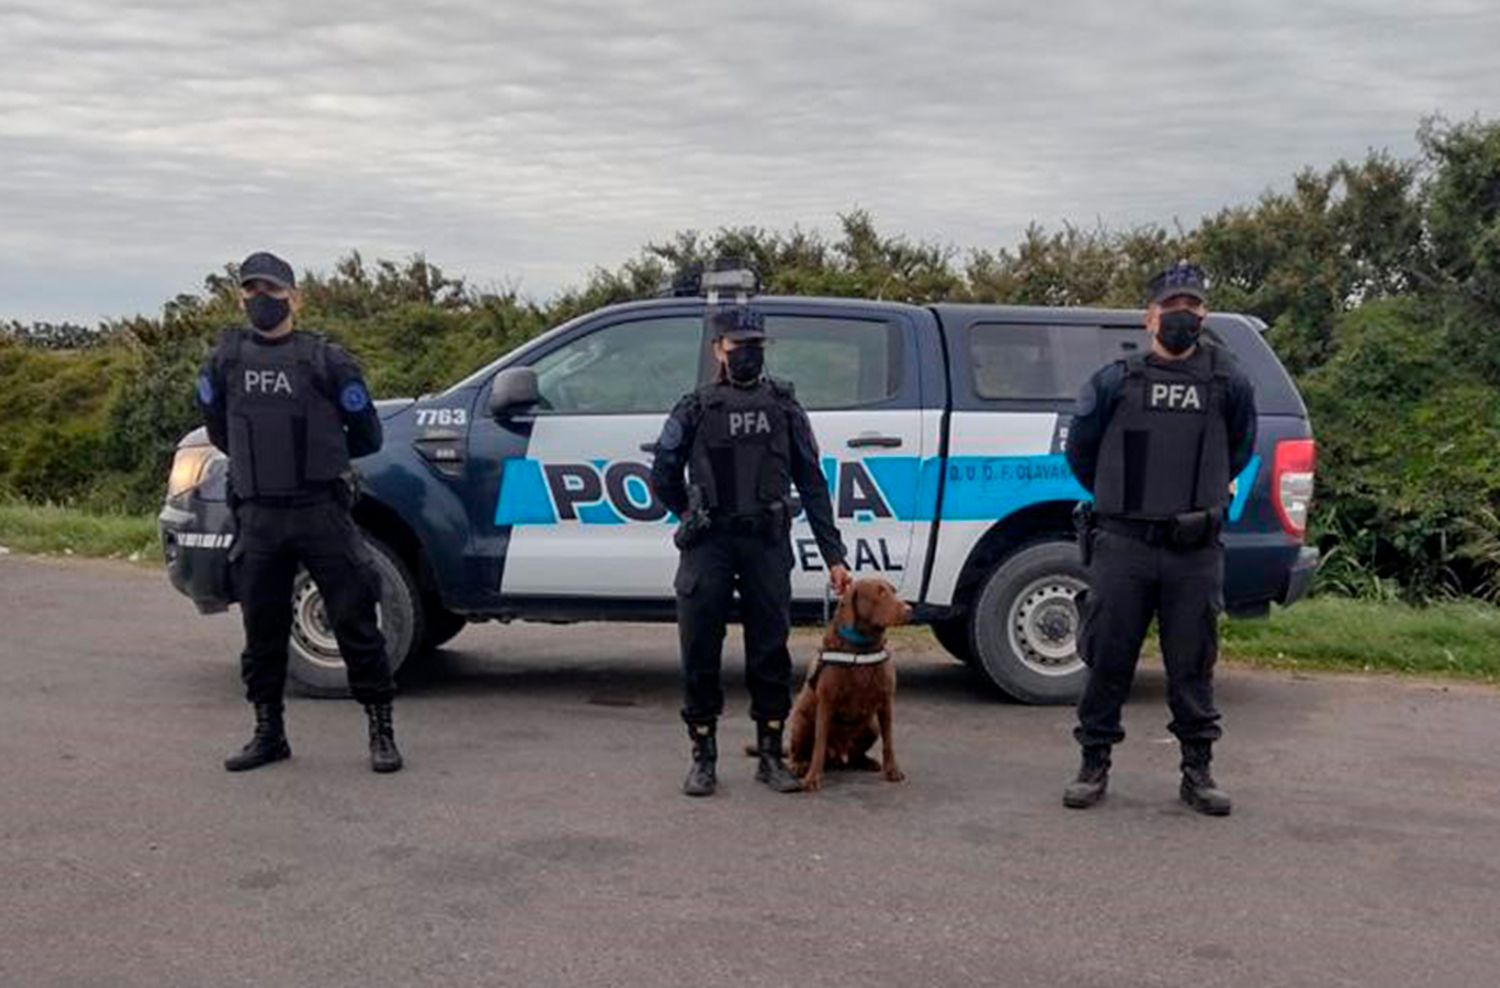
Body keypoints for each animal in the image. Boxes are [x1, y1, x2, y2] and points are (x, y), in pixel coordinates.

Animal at [792, 575, 906, 791]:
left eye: (894, 591)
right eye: (880, 592)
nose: (909, 609)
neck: (862, 647)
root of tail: (839, 755)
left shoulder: (886, 701)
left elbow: (889, 741)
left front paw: (892, 770)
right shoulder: (826, 702)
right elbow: (819, 744)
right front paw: (813, 777)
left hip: (871, 726)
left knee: (855, 756)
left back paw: (868, 762)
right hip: (801, 721)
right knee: (796, 752)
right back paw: (799, 766)